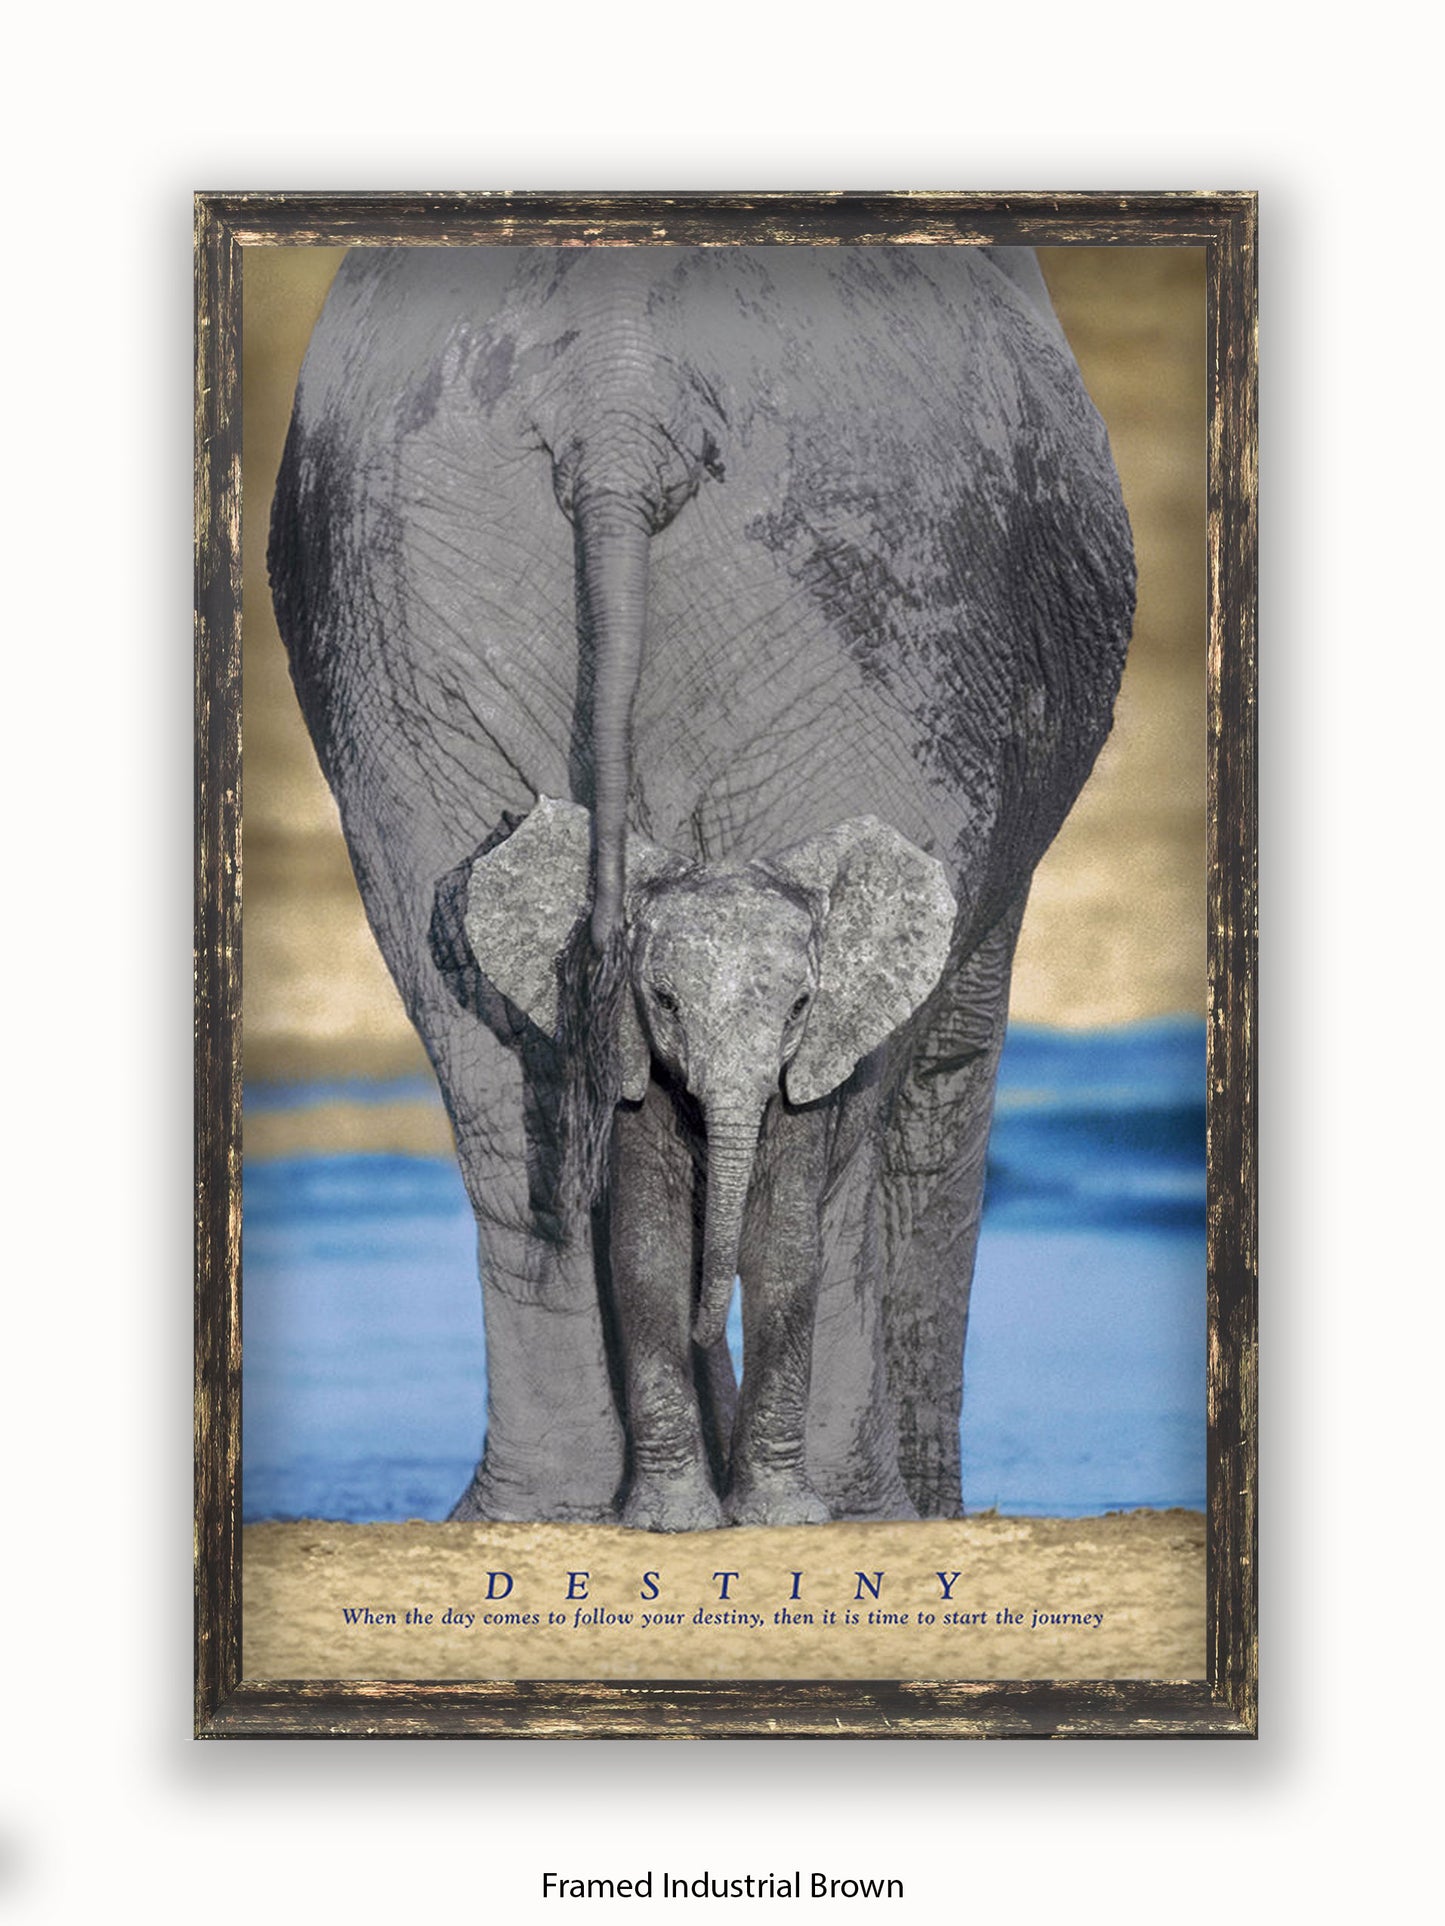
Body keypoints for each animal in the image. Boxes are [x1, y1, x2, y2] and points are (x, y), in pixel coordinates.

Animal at [462, 796, 956, 1528]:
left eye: (800, 1007)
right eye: (665, 1003)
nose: (708, 1329)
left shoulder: (801, 1088)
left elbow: (785, 1254)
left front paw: (782, 1517)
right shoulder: (629, 1070)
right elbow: (647, 1255)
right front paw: (671, 1520)